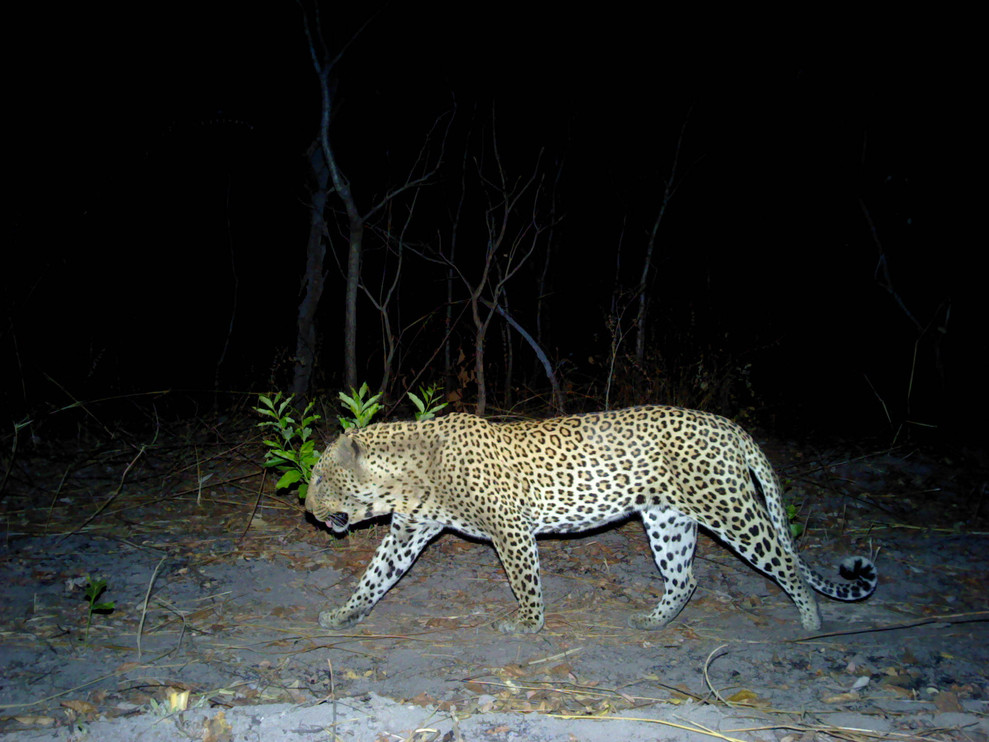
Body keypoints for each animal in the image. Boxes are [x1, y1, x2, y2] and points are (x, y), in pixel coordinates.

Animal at [304, 405, 877, 634]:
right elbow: (374, 578)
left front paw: (528, 624)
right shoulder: (407, 532)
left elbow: (526, 580)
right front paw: (342, 613)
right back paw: (653, 622)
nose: (306, 510)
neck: (406, 477)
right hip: (667, 519)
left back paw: (810, 622)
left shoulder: (511, 529)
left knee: (785, 561)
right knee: (685, 577)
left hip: (729, 508)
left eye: (320, 478)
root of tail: (727, 425)